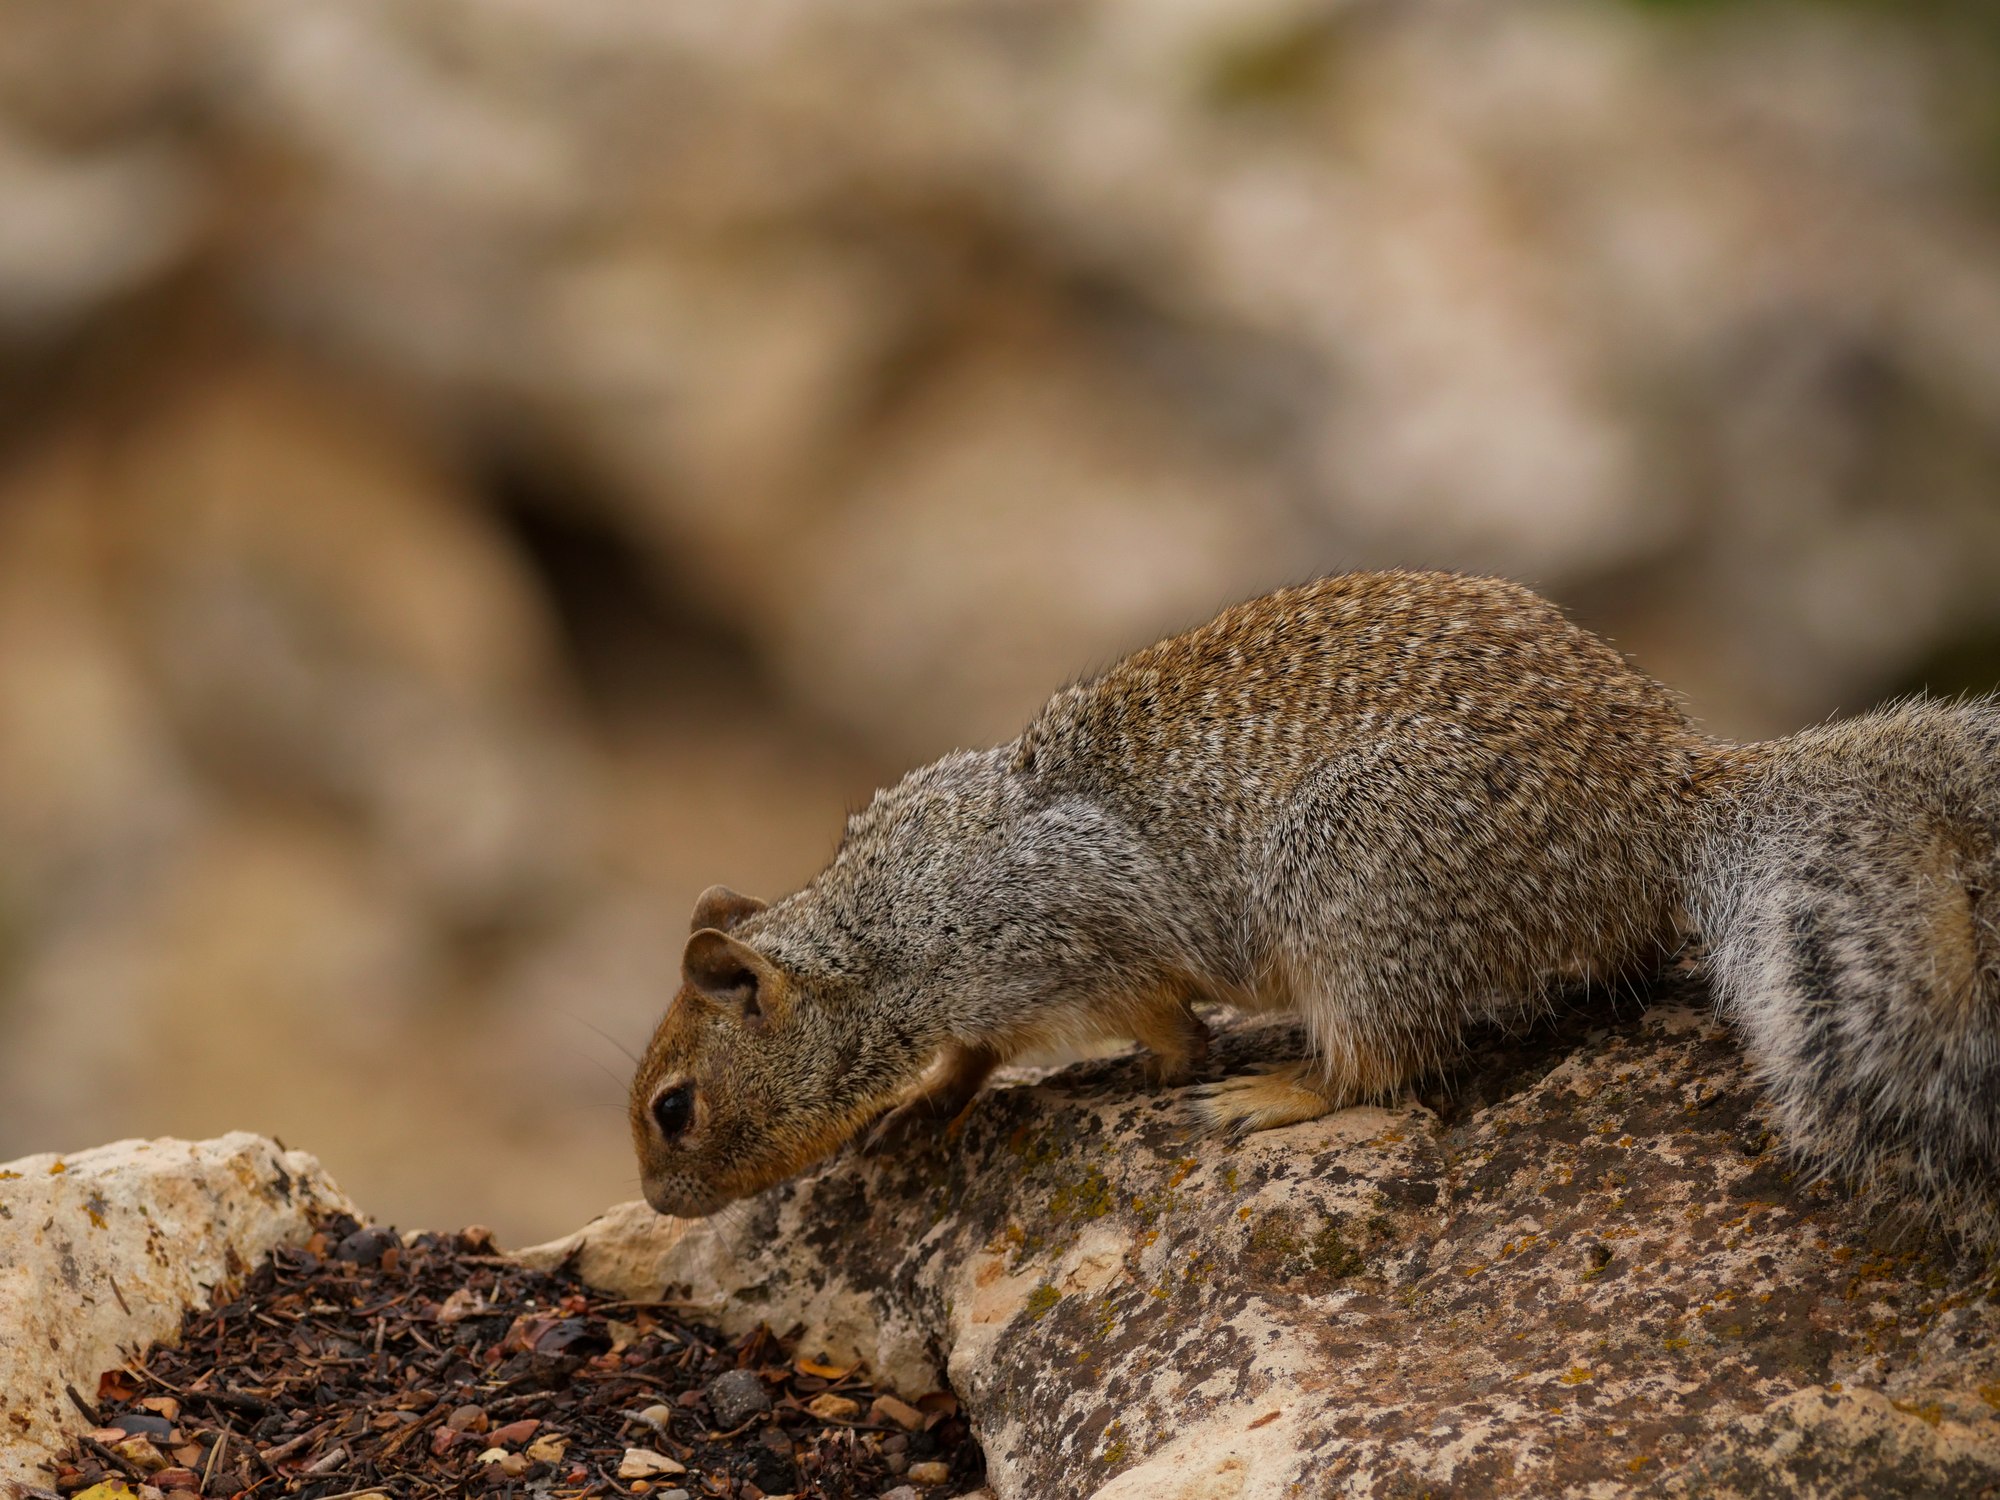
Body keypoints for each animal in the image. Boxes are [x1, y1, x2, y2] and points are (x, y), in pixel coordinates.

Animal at [629, 571, 2000, 1238]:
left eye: (671, 1109)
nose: (653, 1206)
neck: (881, 931)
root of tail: (1667, 802)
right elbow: (971, 1055)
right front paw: (927, 1106)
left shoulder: (1070, 928)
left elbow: (1156, 1008)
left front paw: (1168, 1064)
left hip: (1357, 891)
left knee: (1381, 1064)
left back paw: (1273, 1093)